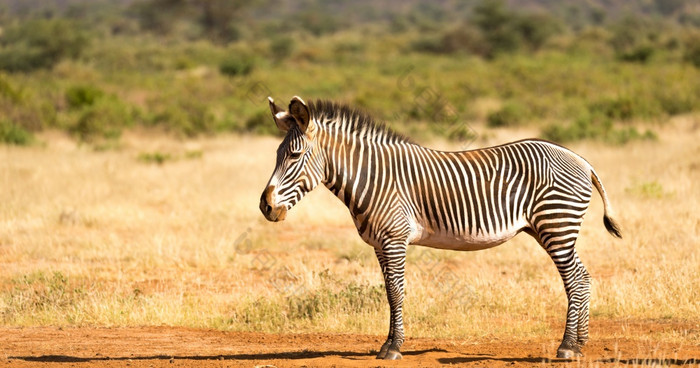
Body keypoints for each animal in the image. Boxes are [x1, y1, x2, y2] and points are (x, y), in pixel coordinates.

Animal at [260, 95, 620, 360]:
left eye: (294, 156)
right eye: (276, 154)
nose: (266, 207)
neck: (372, 179)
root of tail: (580, 159)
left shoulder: (394, 239)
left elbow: (396, 290)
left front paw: (394, 348)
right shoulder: (379, 243)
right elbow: (389, 292)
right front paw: (387, 344)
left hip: (556, 225)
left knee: (575, 280)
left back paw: (568, 347)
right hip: (553, 228)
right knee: (583, 277)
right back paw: (580, 342)